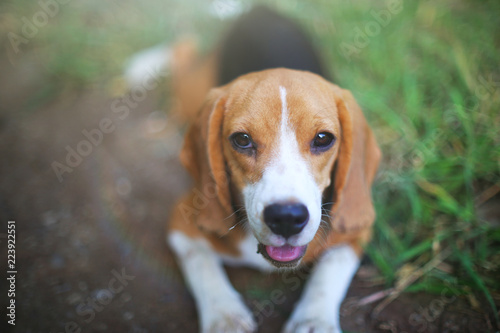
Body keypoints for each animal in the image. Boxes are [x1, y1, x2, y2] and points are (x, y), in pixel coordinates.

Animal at [156, 5, 378, 332]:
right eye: (242, 140)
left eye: (323, 138)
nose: (286, 218)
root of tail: (260, 8)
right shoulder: (180, 223)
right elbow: (202, 264)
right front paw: (224, 316)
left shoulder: (354, 231)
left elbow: (331, 270)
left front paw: (314, 319)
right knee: (181, 53)